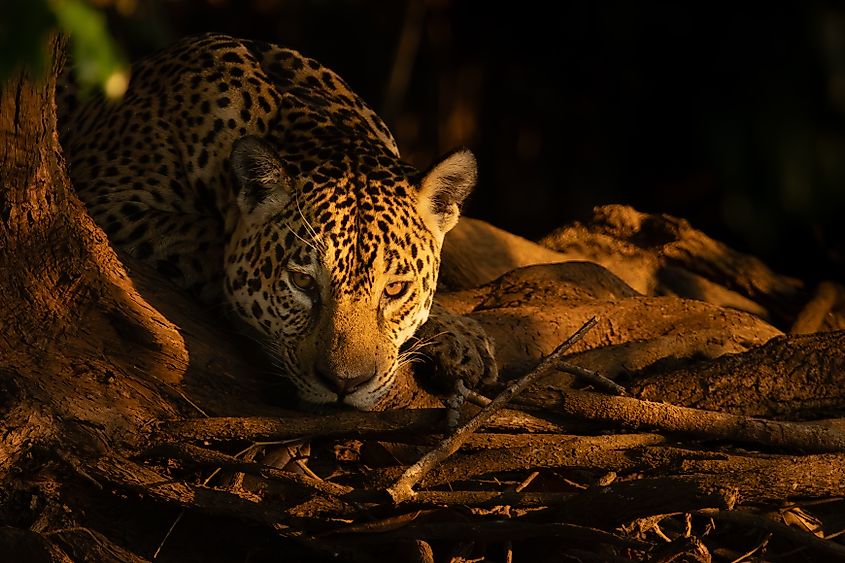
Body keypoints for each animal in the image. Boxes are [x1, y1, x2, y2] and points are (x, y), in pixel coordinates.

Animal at [59, 33, 497, 410]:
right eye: (302, 282)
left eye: (395, 289)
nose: (345, 383)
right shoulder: (108, 198)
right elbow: (210, 244)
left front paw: (461, 337)